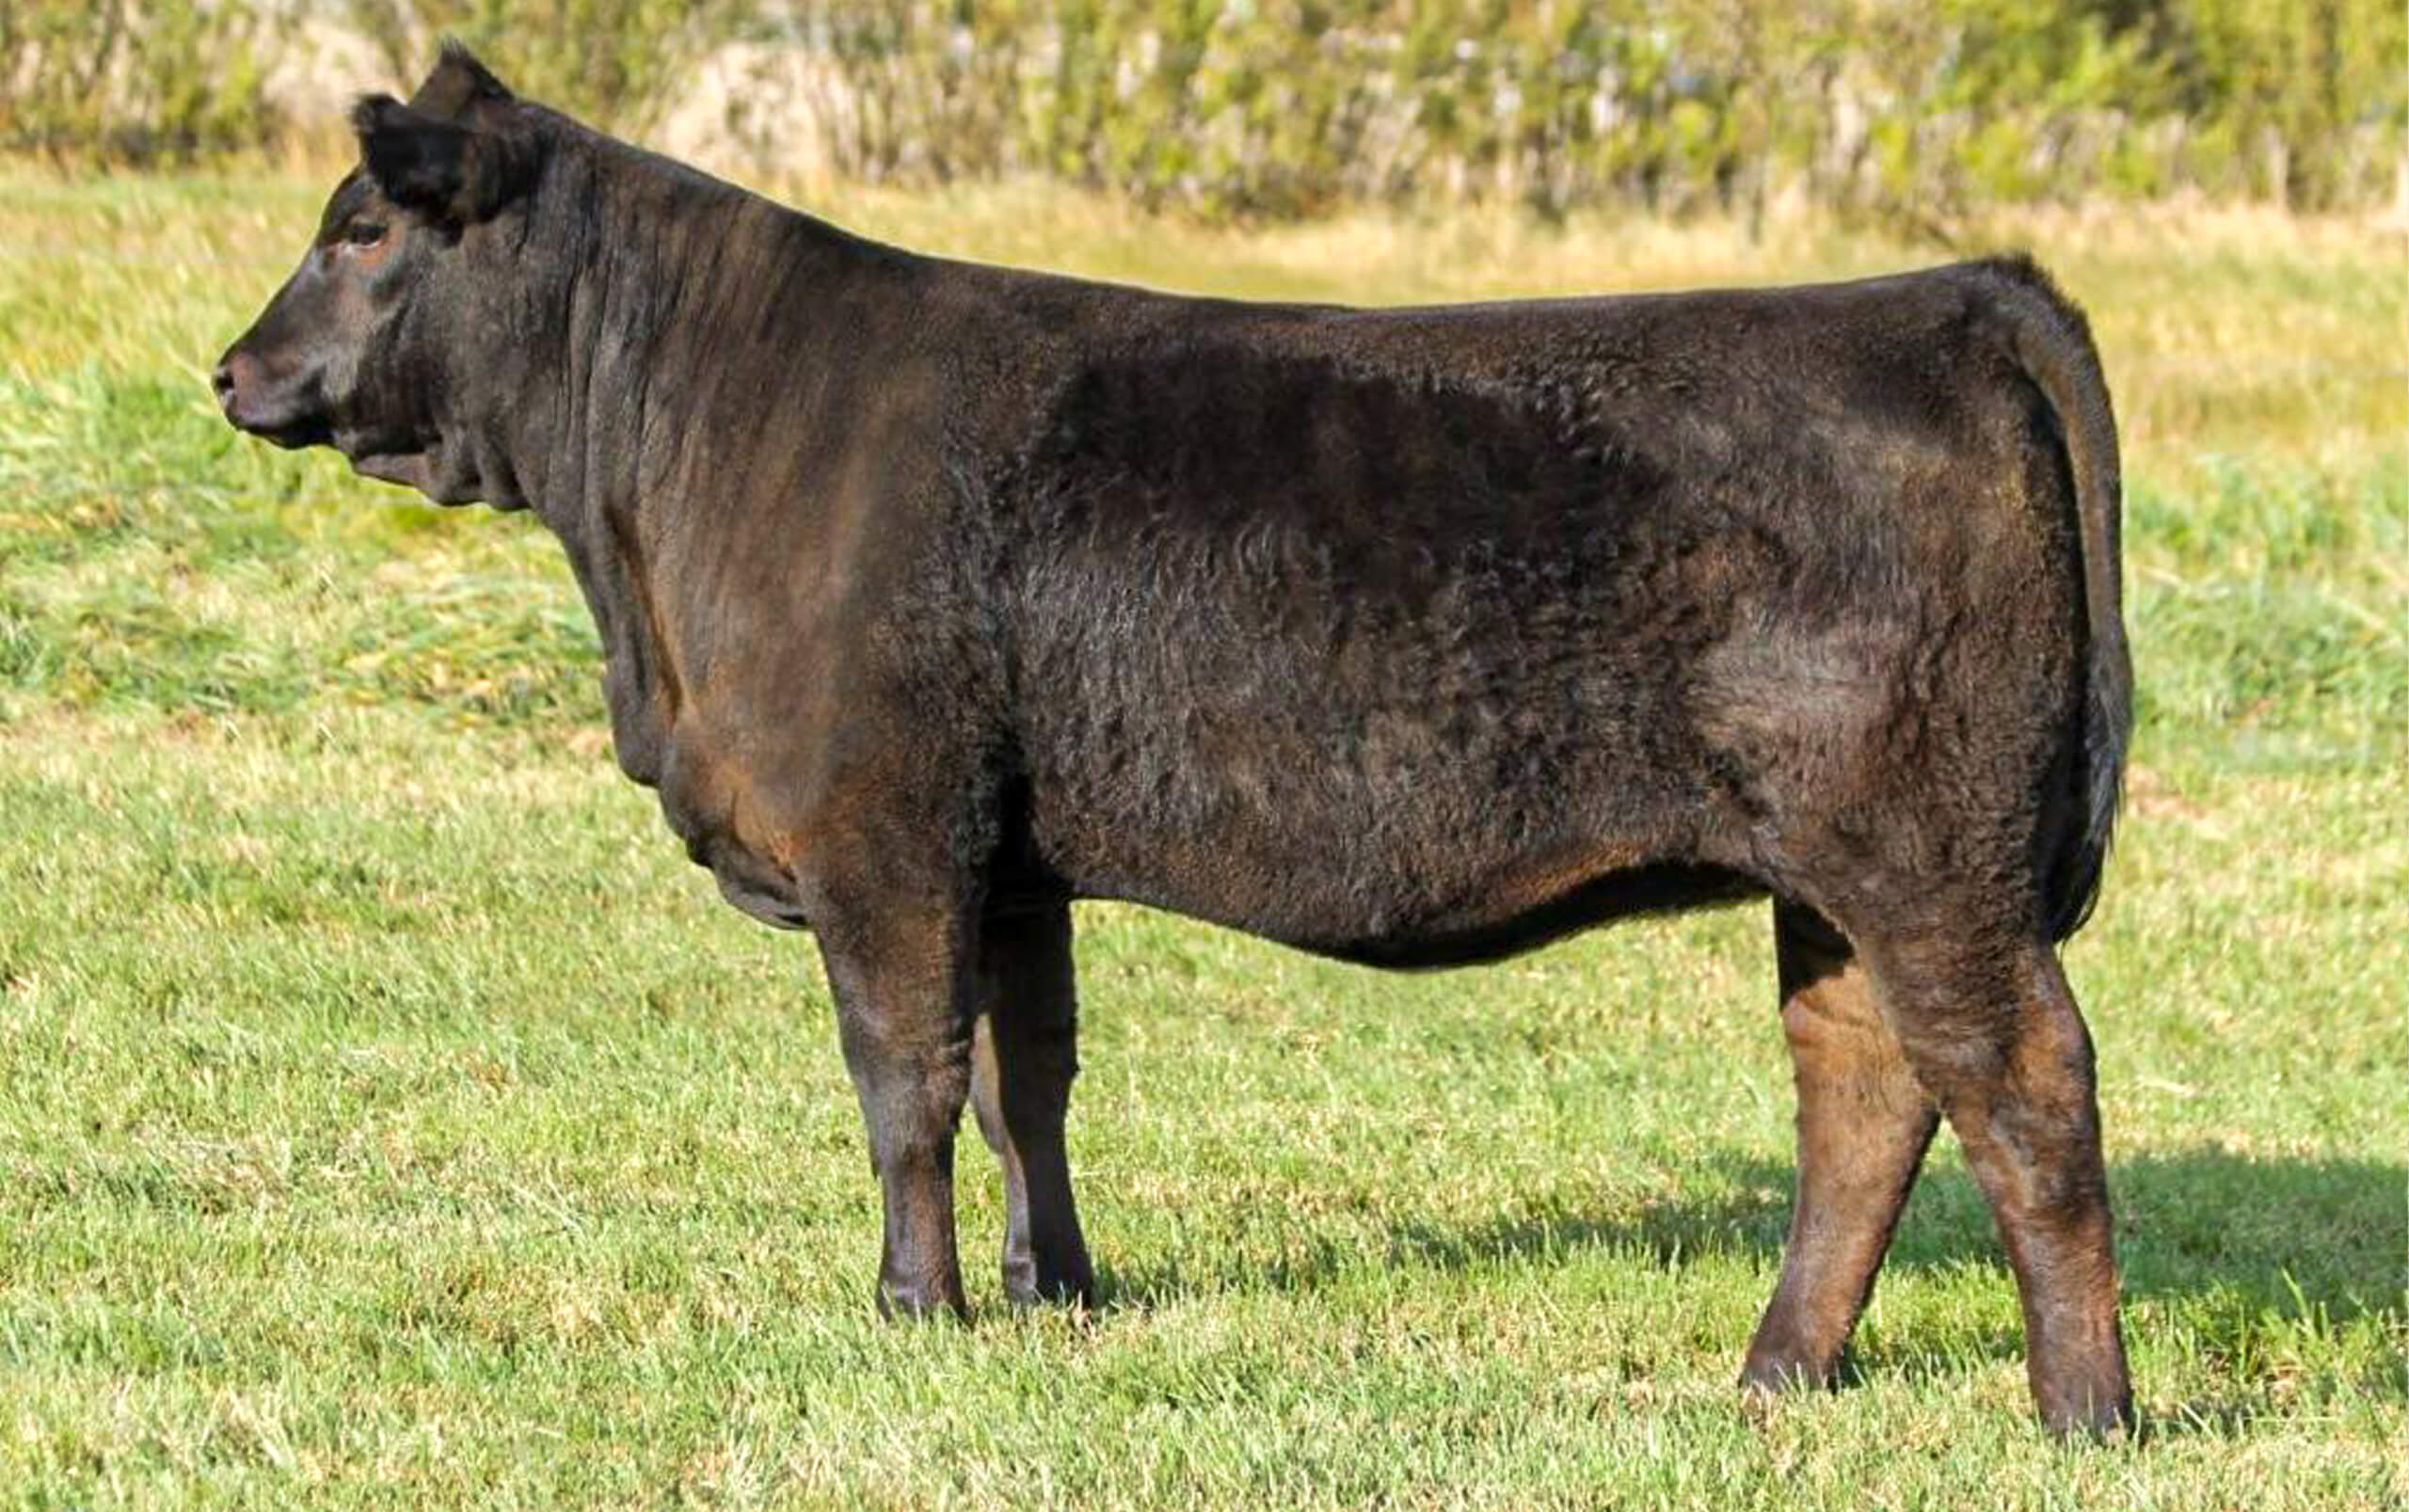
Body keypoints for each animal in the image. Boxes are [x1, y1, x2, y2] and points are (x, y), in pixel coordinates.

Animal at [214, 44, 2136, 1435]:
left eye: (365, 232)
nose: (231, 373)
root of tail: (1948, 293)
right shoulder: (1007, 854)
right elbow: (1024, 1081)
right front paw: (1054, 1292)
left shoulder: (883, 829)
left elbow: (903, 1078)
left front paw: (912, 1308)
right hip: (1835, 873)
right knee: (1866, 1092)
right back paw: (1778, 1373)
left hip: (1928, 853)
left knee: (2021, 1085)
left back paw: (2082, 1411)